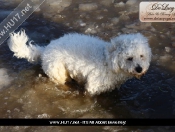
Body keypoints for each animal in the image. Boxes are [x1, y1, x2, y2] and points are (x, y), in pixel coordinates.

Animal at [7, 30, 151, 95]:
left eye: (141, 56)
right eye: (129, 58)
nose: (140, 69)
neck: (108, 60)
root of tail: (45, 50)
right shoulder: (92, 88)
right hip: (58, 72)